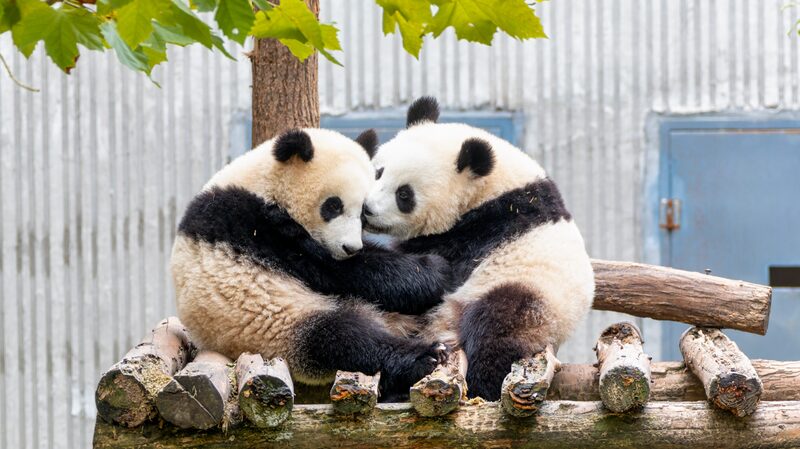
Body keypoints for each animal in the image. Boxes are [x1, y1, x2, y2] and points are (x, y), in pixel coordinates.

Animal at [171, 127, 450, 395]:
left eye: (363, 211)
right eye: (333, 206)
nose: (350, 248)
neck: (265, 185)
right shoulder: (255, 226)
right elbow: (339, 271)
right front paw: (433, 271)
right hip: (277, 327)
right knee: (343, 339)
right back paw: (424, 356)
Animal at [363, 97, 595, 400]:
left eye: (404, 194)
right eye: (378, 173)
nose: (367, 209)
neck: (491, 188)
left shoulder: (479, 229)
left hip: (528, 298)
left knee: (495, 331)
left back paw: (481, 385)